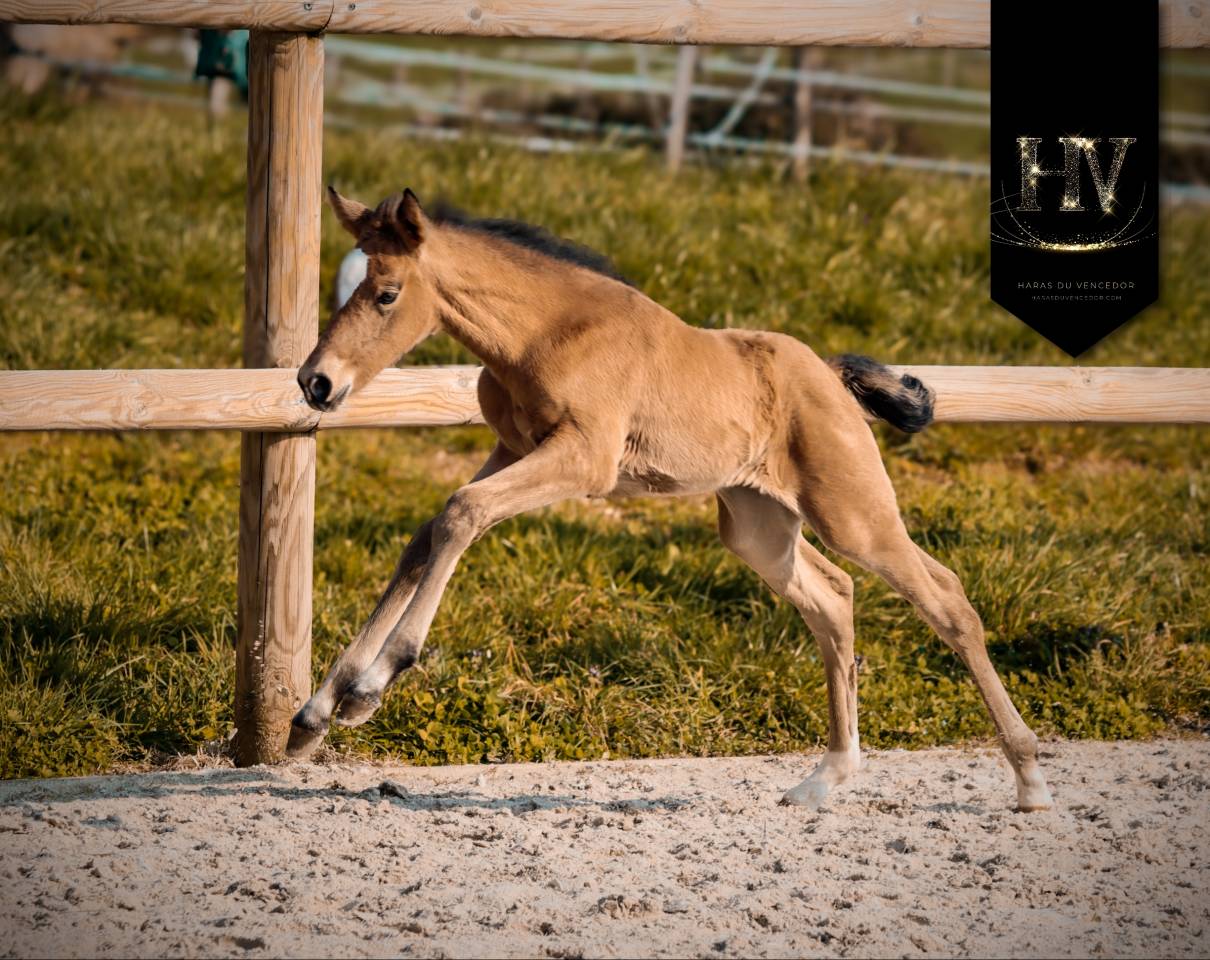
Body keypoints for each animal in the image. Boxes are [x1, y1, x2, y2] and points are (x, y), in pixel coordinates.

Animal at [285, 186, 1054, 813]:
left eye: (386, 293)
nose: (316, 383)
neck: (547, 332)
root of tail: (832, 378)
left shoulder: (583, 458)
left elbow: (459, 514)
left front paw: (371, 686)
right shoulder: (511, 448)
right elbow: (425, 537)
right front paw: (314, 715)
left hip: (853, 514)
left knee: (947, 599)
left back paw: (1029, 779)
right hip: (758, 527)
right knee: (834, 599)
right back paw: (825, 778)